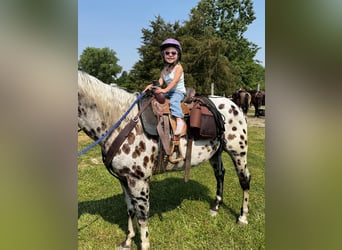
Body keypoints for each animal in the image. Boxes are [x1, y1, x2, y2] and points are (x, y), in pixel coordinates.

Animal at [77, 71, 250, 250]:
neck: (122, 124)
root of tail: (233, 103)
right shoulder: (124, 180)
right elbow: (130, 210)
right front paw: (127, 241)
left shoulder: (139, 181)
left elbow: (142, 216)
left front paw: (144, 244)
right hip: (215, 153)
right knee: (220, 174)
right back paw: (215, 207)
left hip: (238, 152)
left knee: (244, 180)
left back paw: (243, 217)